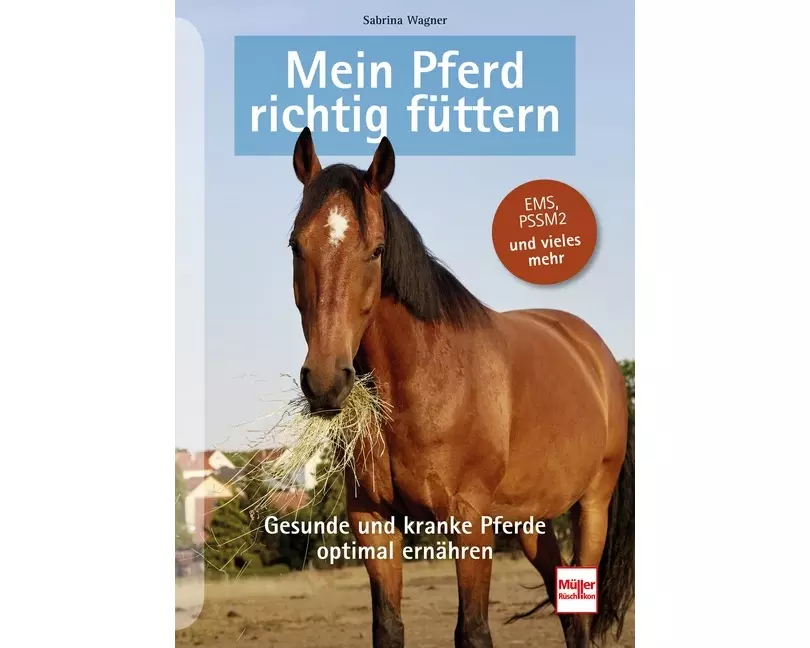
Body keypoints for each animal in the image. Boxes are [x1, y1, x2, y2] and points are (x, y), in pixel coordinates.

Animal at [286, 127, 634, 648]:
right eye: (295, 245)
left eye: (377, 250)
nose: (326, 382)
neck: (423, 381)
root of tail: (596, 354)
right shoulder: (373, 522)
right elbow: (388, 627)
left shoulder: (470, 522)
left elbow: (472, 630)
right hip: (532, 522)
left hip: (592, 505)